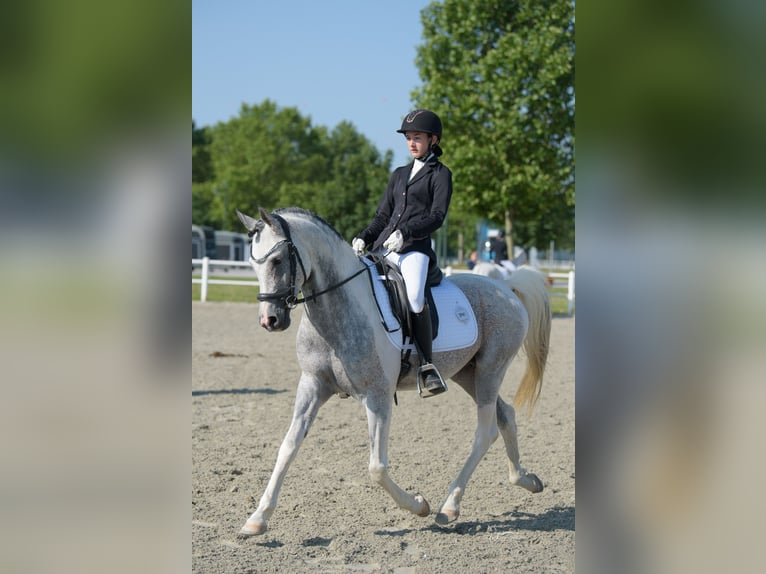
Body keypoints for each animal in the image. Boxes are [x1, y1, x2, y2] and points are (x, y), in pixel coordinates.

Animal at [235, 207, 551, 537]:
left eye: (277, 260)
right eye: (252, 264)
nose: (269, 320)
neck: (338, 310)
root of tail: (506, 288)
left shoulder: (378, 395)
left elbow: (376, 468)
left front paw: (419, 505)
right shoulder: (312, 385)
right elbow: (287, 447)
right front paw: (257, 518)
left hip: (491, 369)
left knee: (485, 431)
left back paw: (449, 506)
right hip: (468, 374)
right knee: (506, 416)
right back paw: (525, 479)